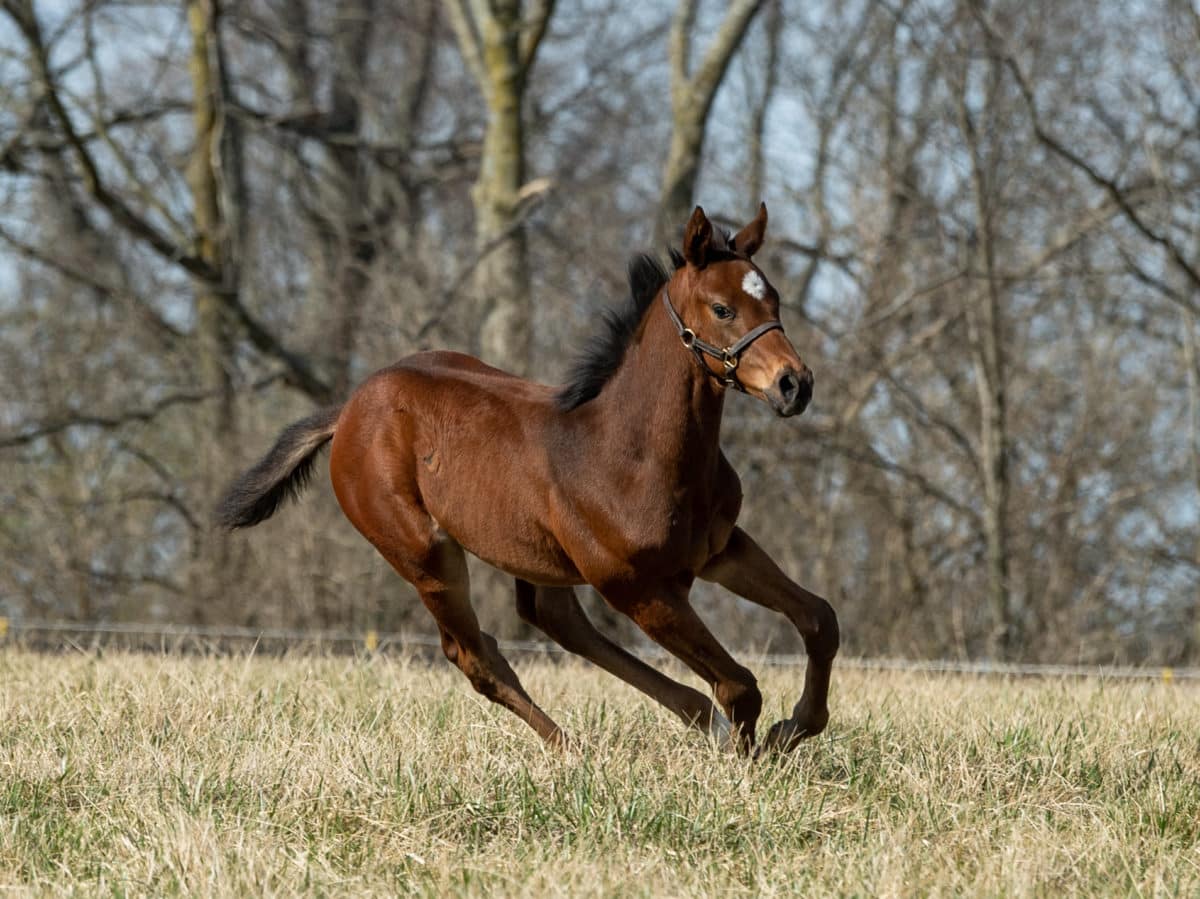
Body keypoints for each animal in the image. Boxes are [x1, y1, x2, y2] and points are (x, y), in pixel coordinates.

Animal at [216, 202, 835, 748]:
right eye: (722, 308)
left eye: (773, 297)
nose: (794, 384)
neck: (633, 452)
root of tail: (346, 411)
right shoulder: (638, 589)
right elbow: (740, 684)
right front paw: (756, 753)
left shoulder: (720, 548)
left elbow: (818, 619)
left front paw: (792, 728)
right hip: (425, 555)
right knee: (477, 656)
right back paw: (575, 750)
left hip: (535, 556)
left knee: (554, 619)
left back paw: (683, 721)